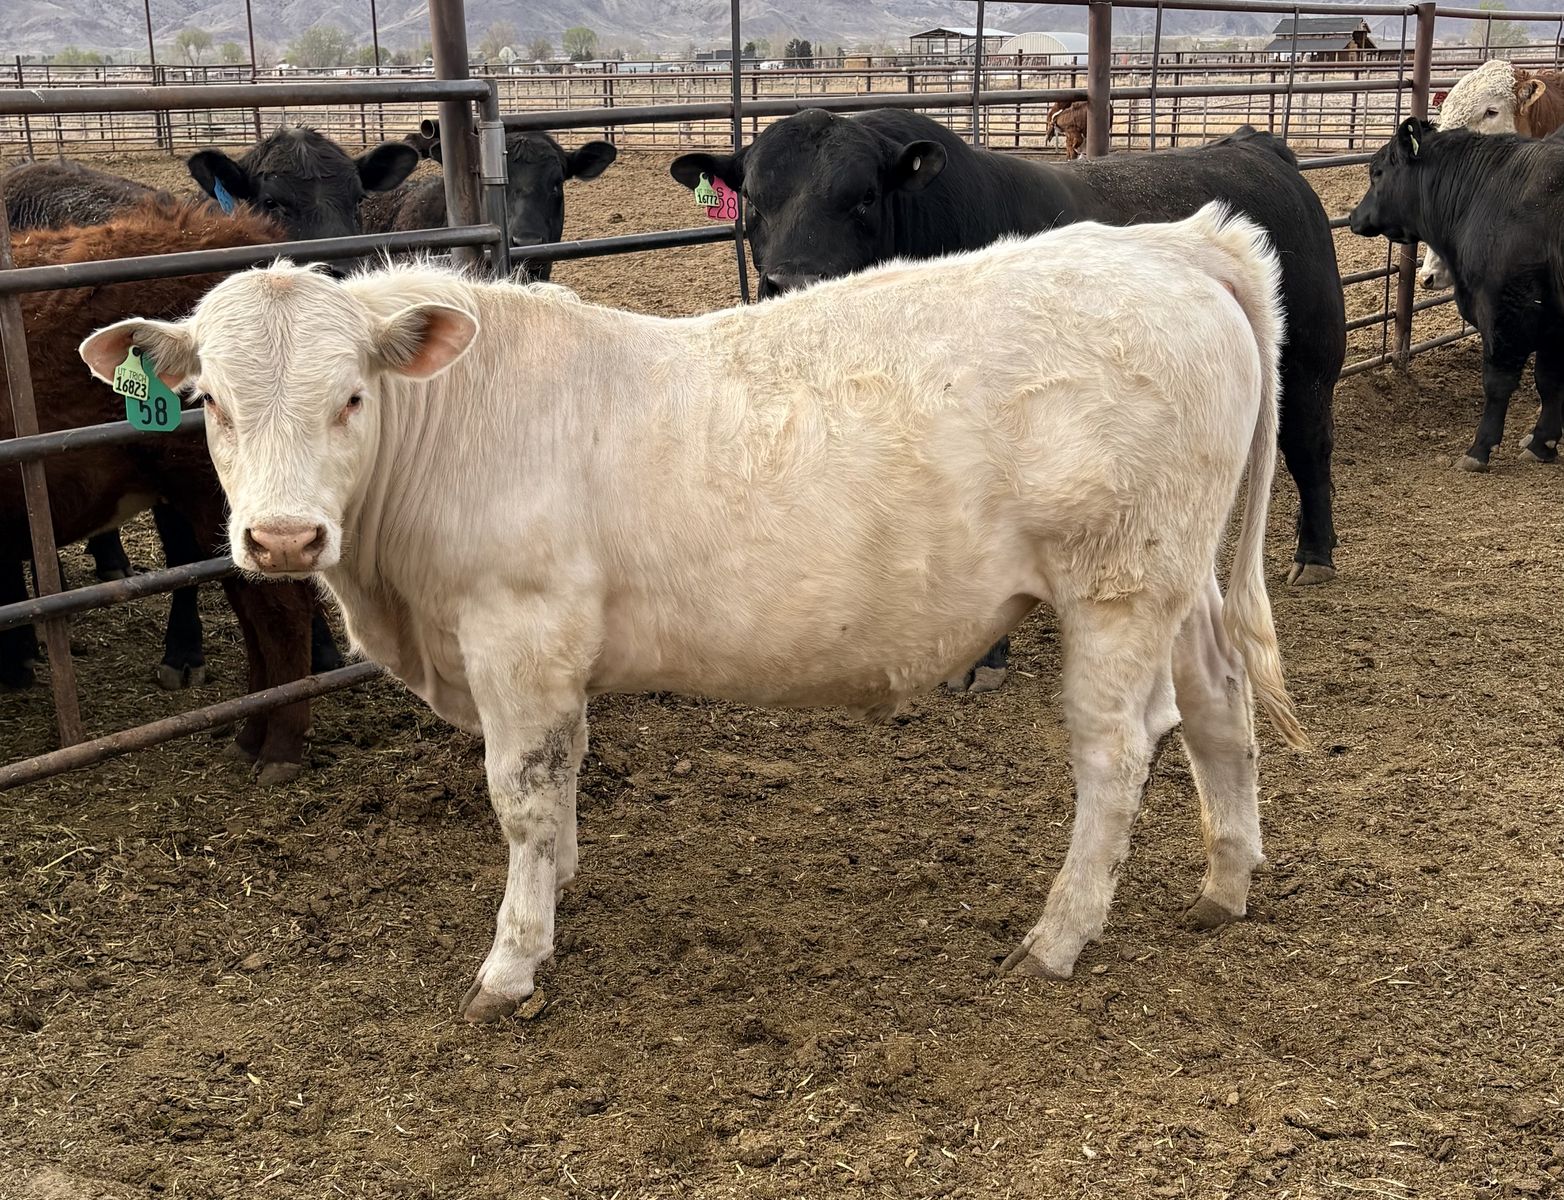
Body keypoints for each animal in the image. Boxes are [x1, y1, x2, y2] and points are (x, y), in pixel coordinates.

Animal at [82, 203, 1309, 1022]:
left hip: (1114, 581)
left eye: (350, 396)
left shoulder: (517, 632)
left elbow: (519, 793)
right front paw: (560, 885)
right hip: (1177, 577)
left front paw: (513, 962)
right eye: (208, 402)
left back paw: (1057, 937)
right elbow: (562, 777)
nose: (283, 539)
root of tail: (1172, 240)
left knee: (1117, 750)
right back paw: (1226, 882)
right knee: (1217, 703)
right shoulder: (550, 655)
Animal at [669, 109, 1345, 690]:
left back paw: (1314, 554)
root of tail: (1256, 148)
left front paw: (981, 660)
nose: (792, 280)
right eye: (754, 200)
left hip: (1310, 363)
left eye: (863, 196)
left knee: (1309, 450)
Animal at [1349, 118, 1564, 471]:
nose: (1353, 216)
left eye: (1377, 172)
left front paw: (1480, 449)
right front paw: (1543, 443)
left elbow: (1498, 383)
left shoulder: (1507, 312)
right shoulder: (1551, 320)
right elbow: (1548, 381)